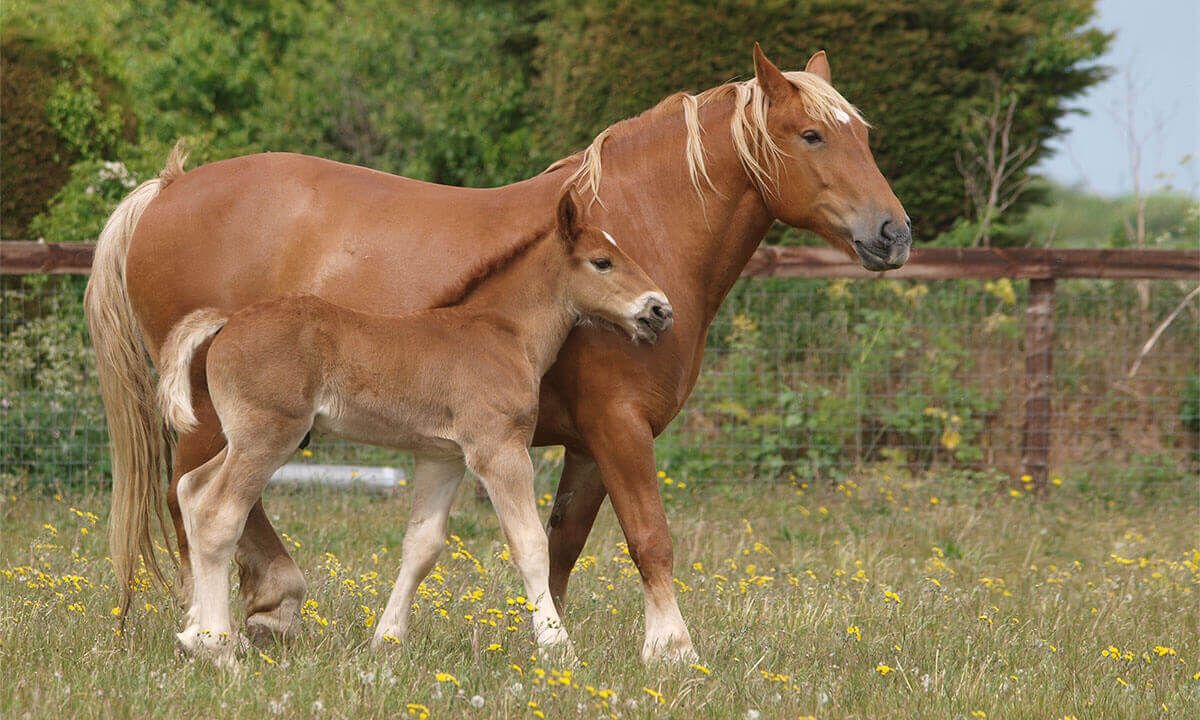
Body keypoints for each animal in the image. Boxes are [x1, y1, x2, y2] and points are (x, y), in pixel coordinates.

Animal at [152, 191, 672, 666]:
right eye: (602, 262)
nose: (660, 310)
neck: (503, 334)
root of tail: (228, 322)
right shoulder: (498, 448)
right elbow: (529, 544)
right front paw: (557, 646)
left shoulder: (442, 456)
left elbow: (422, 546)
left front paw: (387, 641)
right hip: (268, 436)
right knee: (219, 514)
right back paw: (216, 647)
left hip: (243, 437)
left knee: (191, 490)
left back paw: (195, 631)